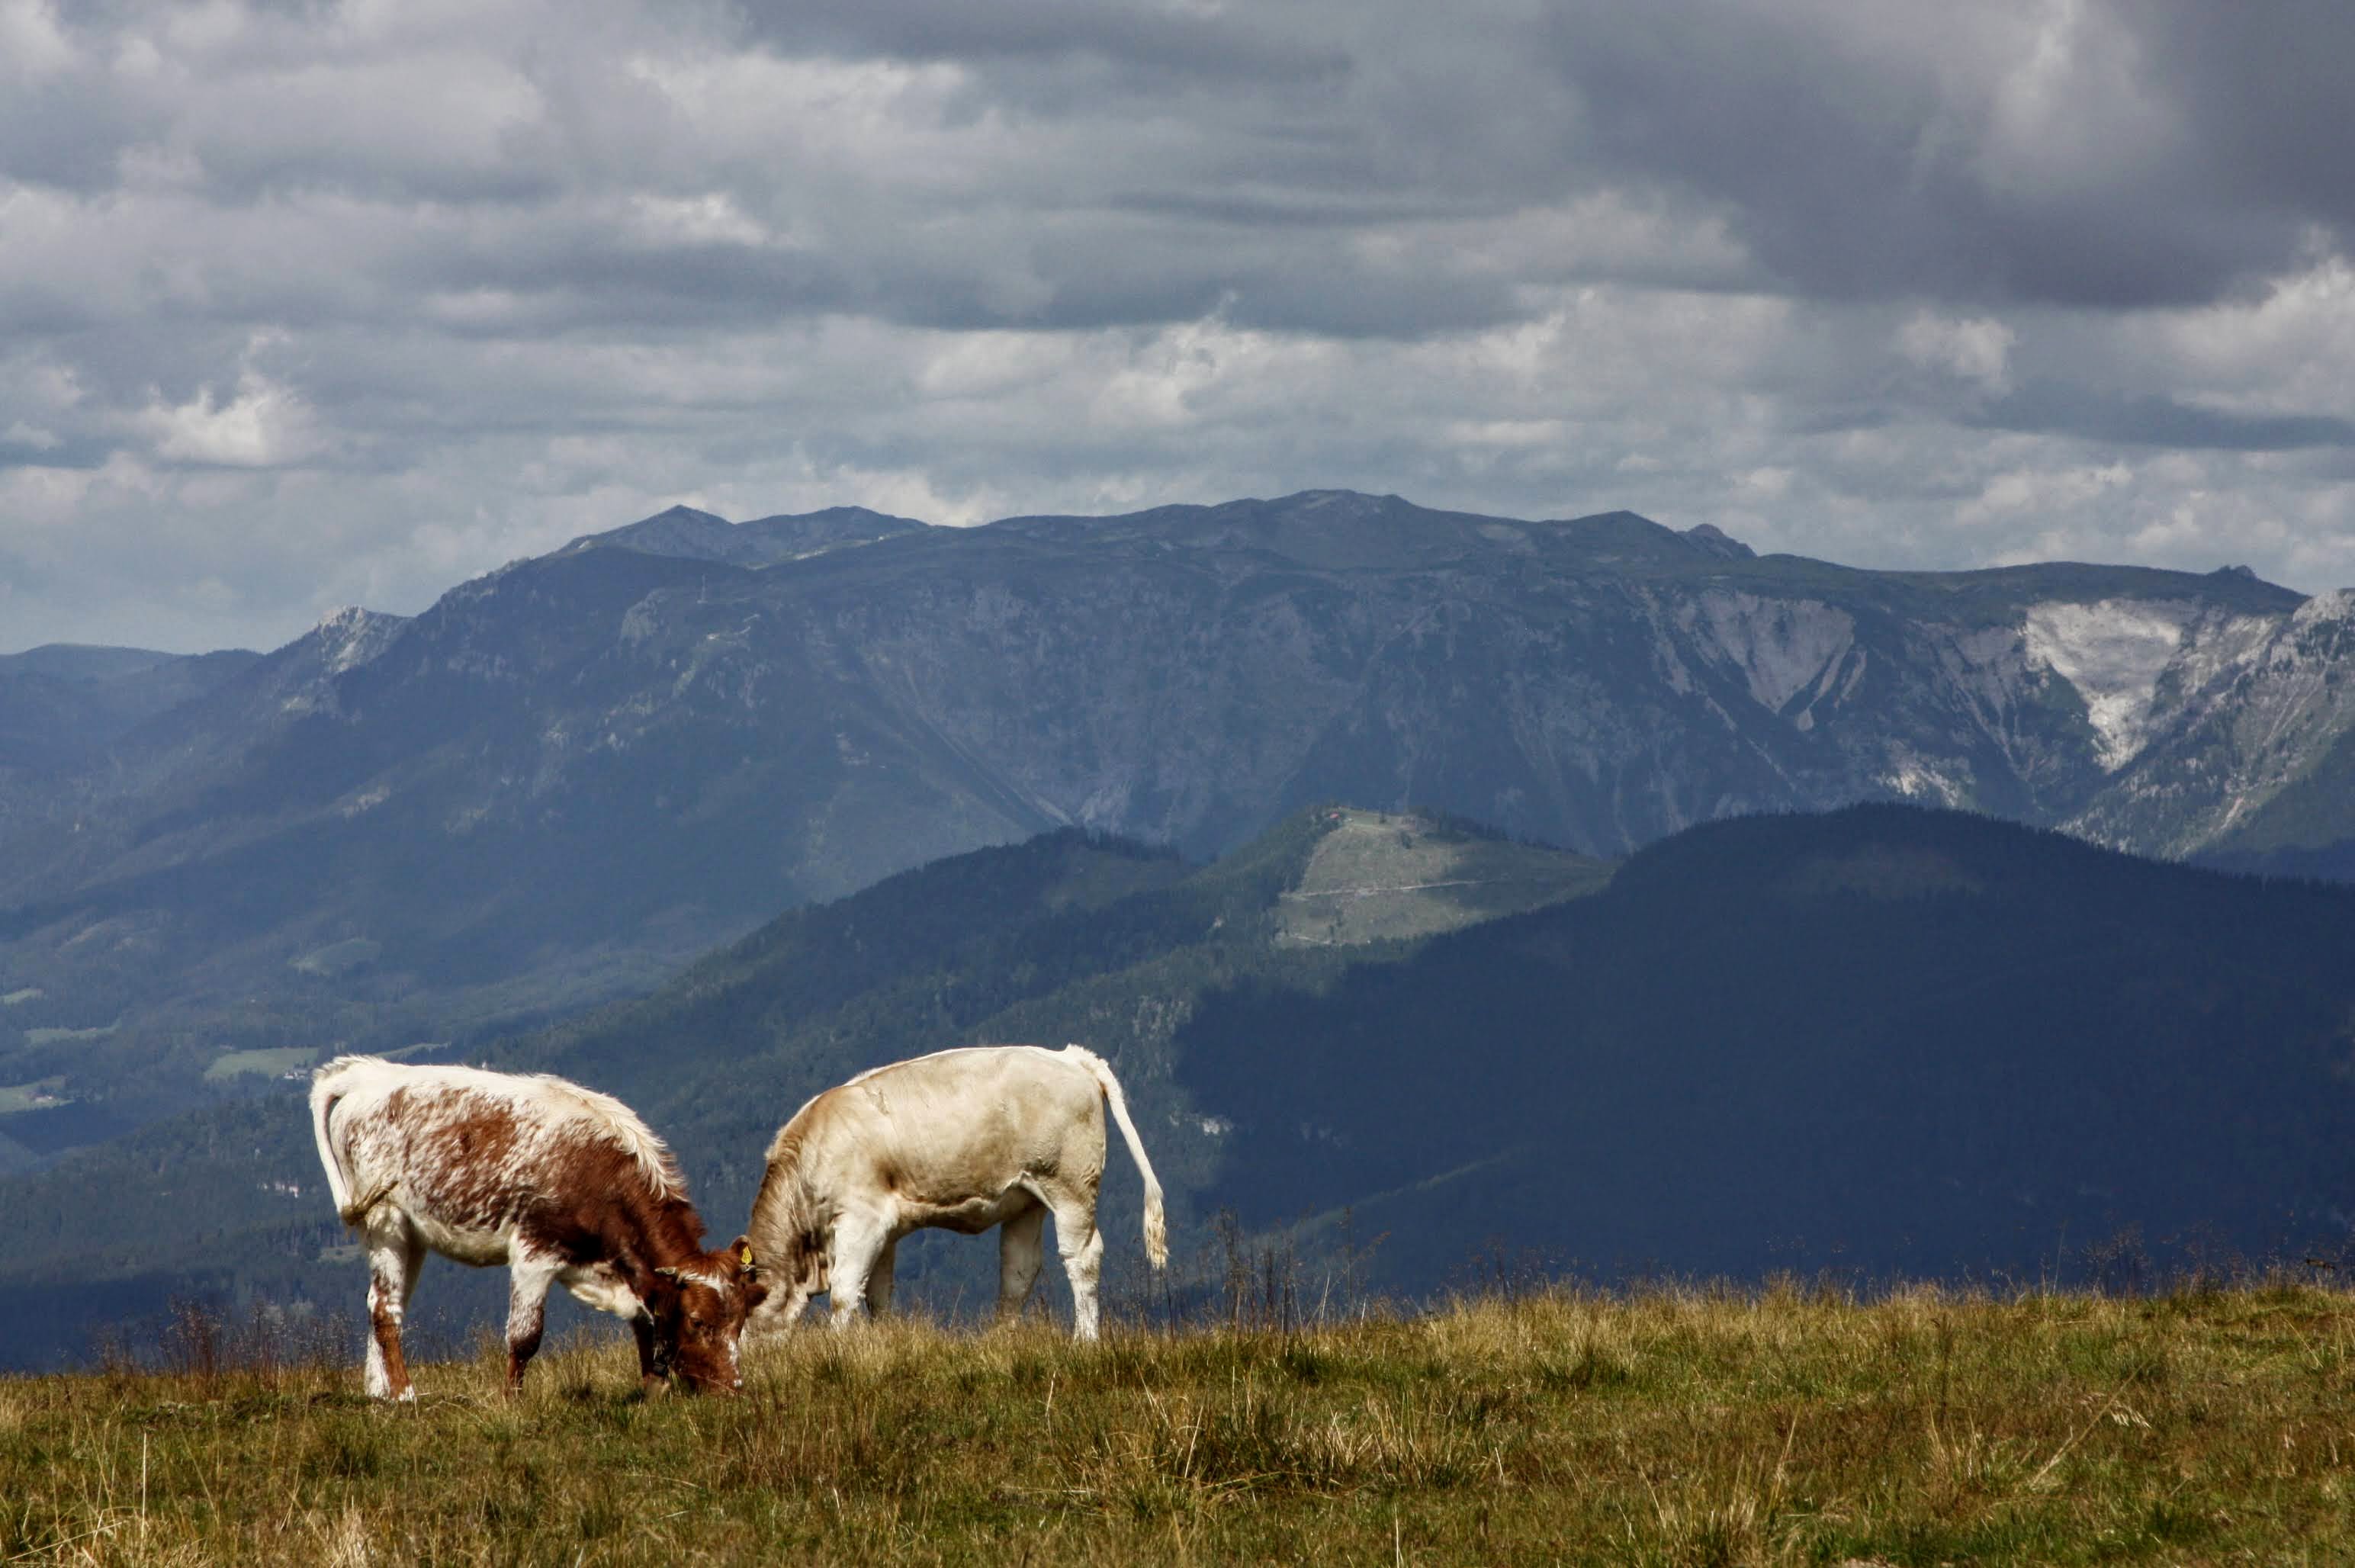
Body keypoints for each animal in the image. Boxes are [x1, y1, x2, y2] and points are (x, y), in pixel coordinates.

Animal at [308, 1049, 767, 1393]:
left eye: (741, 1320)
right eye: (697, 1321)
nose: (732, 1389)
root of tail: (367, 1074)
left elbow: (645, 1325)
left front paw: (653, 1393)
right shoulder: (535, 1252)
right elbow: (525, 1338)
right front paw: (511, 1402)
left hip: (411, 1233)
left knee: (384, 1303)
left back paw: (379, 1394)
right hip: (384, 1220)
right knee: (385, 1309)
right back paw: (405, 1395)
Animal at [748, 1036, 1163, 1328]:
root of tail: (1072, 1057)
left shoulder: (861, 1220)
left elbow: (845, 1292)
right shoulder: (884, 1231)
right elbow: (877, 1296)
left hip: (1070, 1185)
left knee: (1083, 1259)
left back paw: (1084, 1340)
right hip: (1028, 1198)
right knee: (1018, 1270)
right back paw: (1001, 1339)